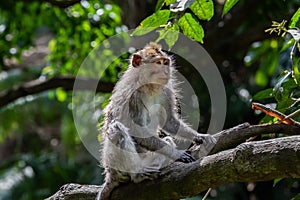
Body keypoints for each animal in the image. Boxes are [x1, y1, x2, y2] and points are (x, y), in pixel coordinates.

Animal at [96, 41, 216, 199]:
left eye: (165, 63)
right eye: (158, 63)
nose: (166, 72)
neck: (149, 87)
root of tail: (110, 175)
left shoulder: (165, 90)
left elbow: (170, 122)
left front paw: (200, 136)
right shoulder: (133, 97)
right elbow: (139, 132)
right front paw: (177, 154)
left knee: (167, 140)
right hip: (115, 165)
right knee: (117, 128)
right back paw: (137, 174)